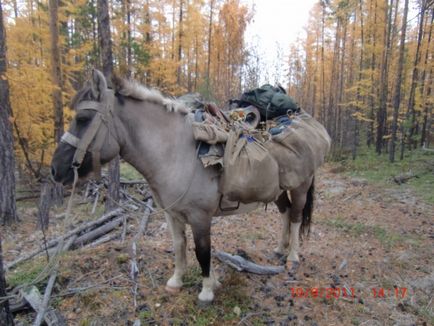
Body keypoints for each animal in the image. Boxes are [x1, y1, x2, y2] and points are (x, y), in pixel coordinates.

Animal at [50, 69, 328, 304]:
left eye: (83, 118)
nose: (55, 170)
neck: (177, 153)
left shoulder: (199, 217)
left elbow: (202, 251)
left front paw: (206, 291)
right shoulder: (172, 214)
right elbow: (179, 246)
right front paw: (177, 281)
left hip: (300, 187)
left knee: (295, 216)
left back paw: (292, 257)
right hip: (278, 190)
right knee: (285, 212)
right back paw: (280, 249)